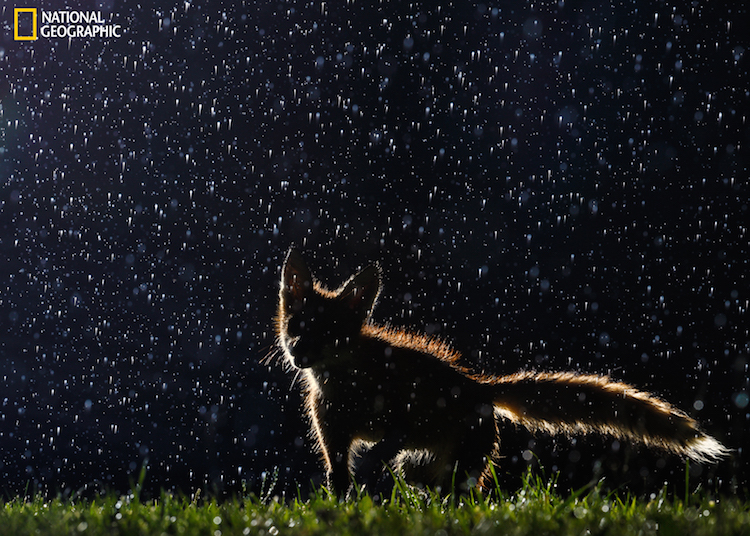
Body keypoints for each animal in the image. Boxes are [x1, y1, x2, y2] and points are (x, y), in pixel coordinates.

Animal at [273, 248, 729, 494]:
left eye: (330, 333)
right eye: (296, 325)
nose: (298, 354)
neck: (346, 386)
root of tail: (481, 386)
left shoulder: (403, 414)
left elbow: (386, 443)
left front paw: (370, 467)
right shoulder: (333, 436)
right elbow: (339, 480)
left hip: (457, 465)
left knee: (464, 499)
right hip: (423, 469)